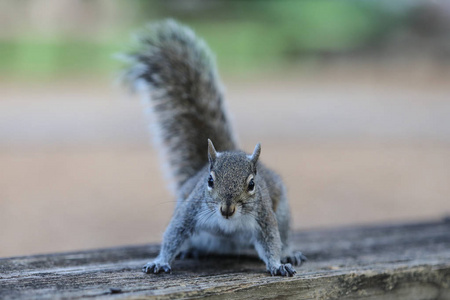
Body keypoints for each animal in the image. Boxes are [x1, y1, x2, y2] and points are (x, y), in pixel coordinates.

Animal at [122, 18, 306, 276]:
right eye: (209, 181)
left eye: (252, 184)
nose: (226, 209)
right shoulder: (190, 210)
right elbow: (173, 234)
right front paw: (159, 261)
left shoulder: (265, 217)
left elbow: (271, 242)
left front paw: (278, 265)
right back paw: (190, 250)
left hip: (284, 214)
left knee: (285, 236)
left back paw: (289, 252)